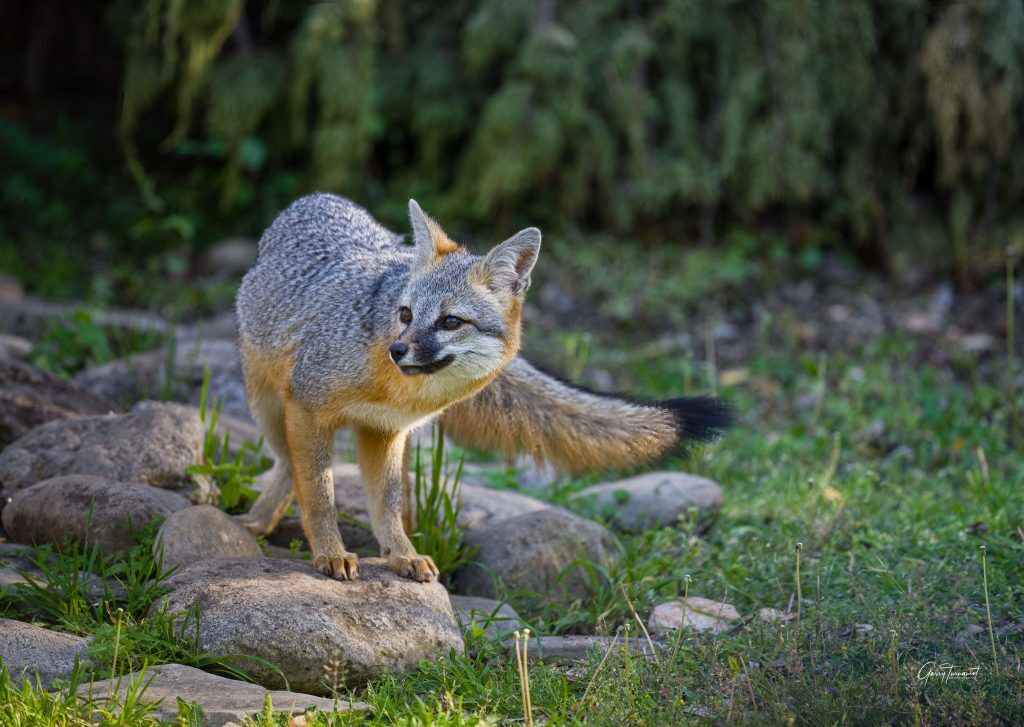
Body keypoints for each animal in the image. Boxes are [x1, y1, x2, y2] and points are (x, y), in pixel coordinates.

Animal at [235, 193, 730, 583]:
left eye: (451, 322)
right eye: (405, 314)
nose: (398, 350)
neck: (396, 392)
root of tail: (316, 198)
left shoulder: (386, 431)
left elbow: (387, 506)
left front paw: (400, 555)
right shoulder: (307, 405)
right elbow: (319, 492)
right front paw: (331, 553)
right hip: (268, 407)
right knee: (288, 463)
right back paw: (258, 520)